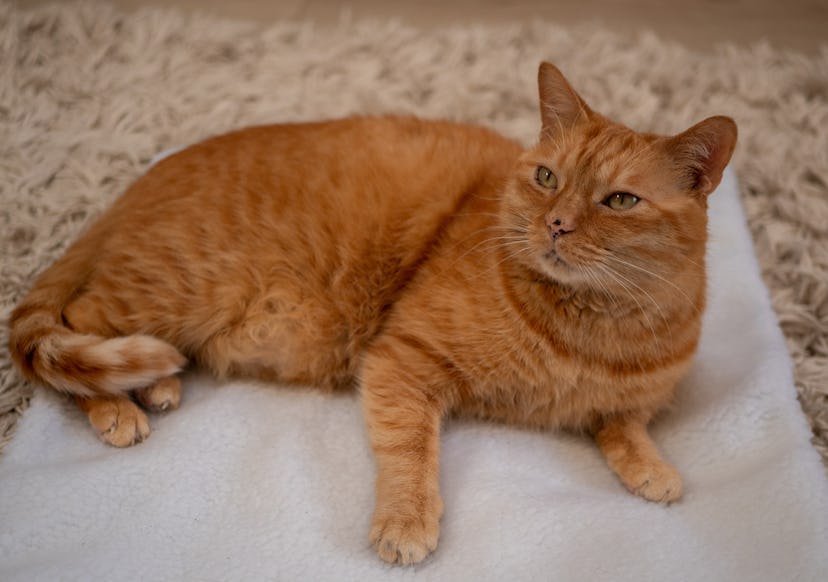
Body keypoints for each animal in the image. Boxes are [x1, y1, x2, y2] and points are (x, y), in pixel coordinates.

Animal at [9, 62, 736, 564]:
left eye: (620, 201)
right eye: (547, 178)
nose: (555, 224)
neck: (592, 327)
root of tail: (135, 184)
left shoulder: (634, 400)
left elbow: (625, 425)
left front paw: (652, 467)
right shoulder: (403, 358)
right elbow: (408, 451)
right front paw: (406, 521)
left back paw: (155, 386)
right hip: (173, 290)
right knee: (70, 333)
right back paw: (119, 405)